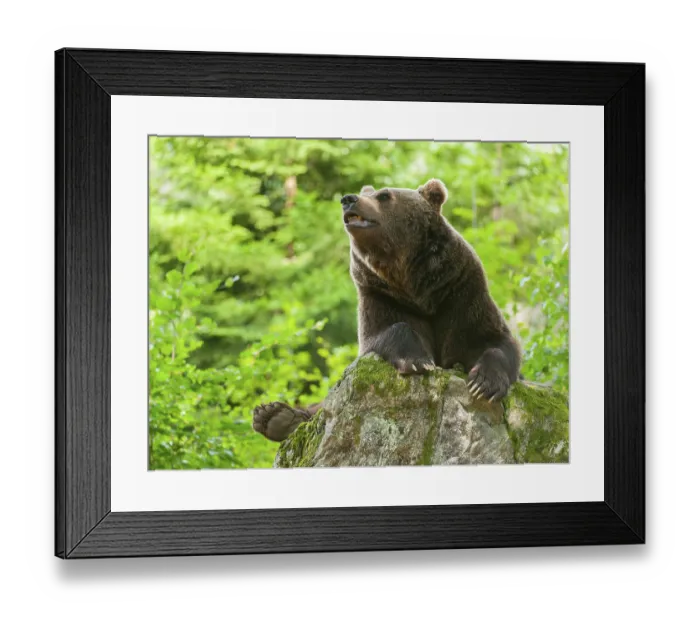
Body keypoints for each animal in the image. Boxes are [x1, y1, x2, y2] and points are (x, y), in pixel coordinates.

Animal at [252, 179, 521, 442]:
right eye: (366, 192)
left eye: (383, 195)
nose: (348, 199)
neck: (417, 288)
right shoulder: (382, 297)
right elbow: (383, 334)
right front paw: (417, 360)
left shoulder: (461, 294)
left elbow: (496, 342)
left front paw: (484, 383)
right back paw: (275, 416)